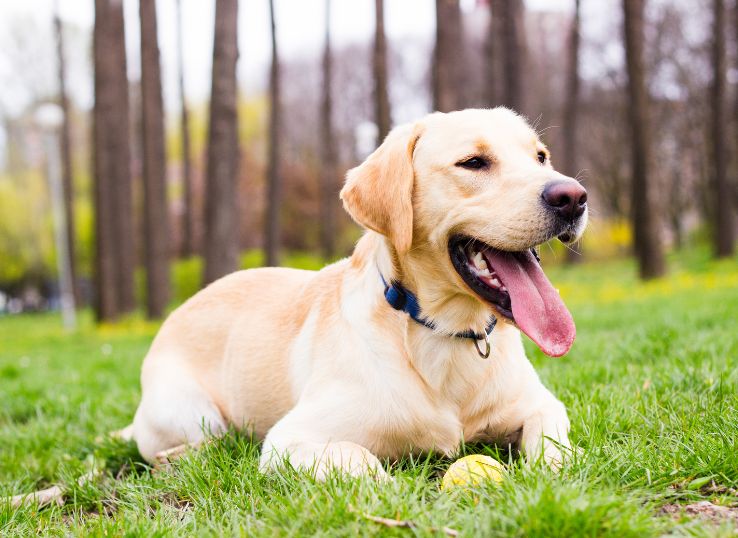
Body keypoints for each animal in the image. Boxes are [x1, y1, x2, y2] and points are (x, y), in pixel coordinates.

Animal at [131, 107, 588, 476]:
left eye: (541, 157)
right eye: (473, 163)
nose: (573, 196)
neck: (445, 332)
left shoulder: (541, 403)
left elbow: (553, 441)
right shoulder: (290, 440)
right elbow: (360, 459)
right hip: (193, 412)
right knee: (196, 443)